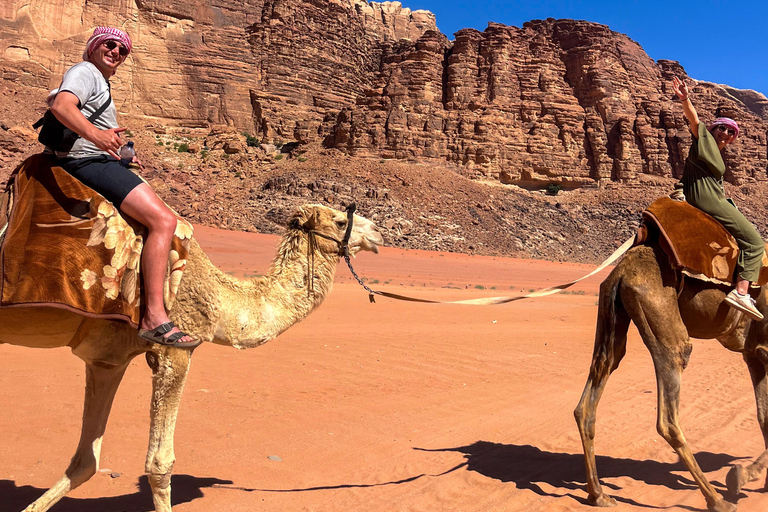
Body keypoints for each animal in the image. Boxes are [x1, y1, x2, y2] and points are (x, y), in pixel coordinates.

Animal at [2, 203, 383, 512]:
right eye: (340, 220)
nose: (378, 233)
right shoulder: (175, 348)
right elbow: (159, 463)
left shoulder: (107, 359)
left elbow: (86, 460)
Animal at [573, 236, 768, 512]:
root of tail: (622, 272)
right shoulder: (763, 350)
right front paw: (739, 478)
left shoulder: (753, 354)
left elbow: (764, 418)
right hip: (665, 325)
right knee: (668, 418)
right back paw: (716, 500)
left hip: (612, 321)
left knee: (588, 403)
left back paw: (598, 495)